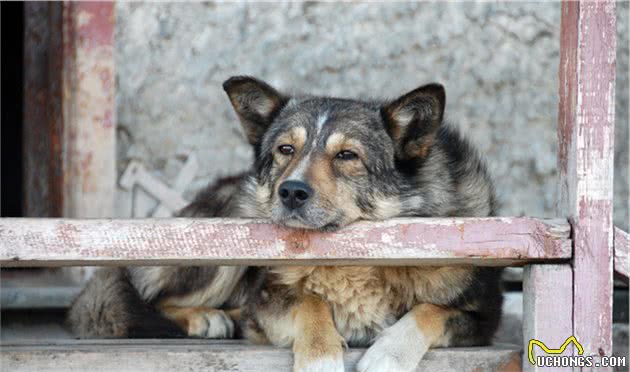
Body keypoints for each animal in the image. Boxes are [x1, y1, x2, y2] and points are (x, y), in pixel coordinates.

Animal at [69, 76, 504, 372]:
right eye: (285, 149)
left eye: (347, 155)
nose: (291, 191)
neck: (355, 257)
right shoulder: (266, 297)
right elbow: (309, 302)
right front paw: (320, 359)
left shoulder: (484, 318)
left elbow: (430, 310)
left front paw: (388, 355)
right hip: (227, 236)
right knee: (150, 299)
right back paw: (207, 317)